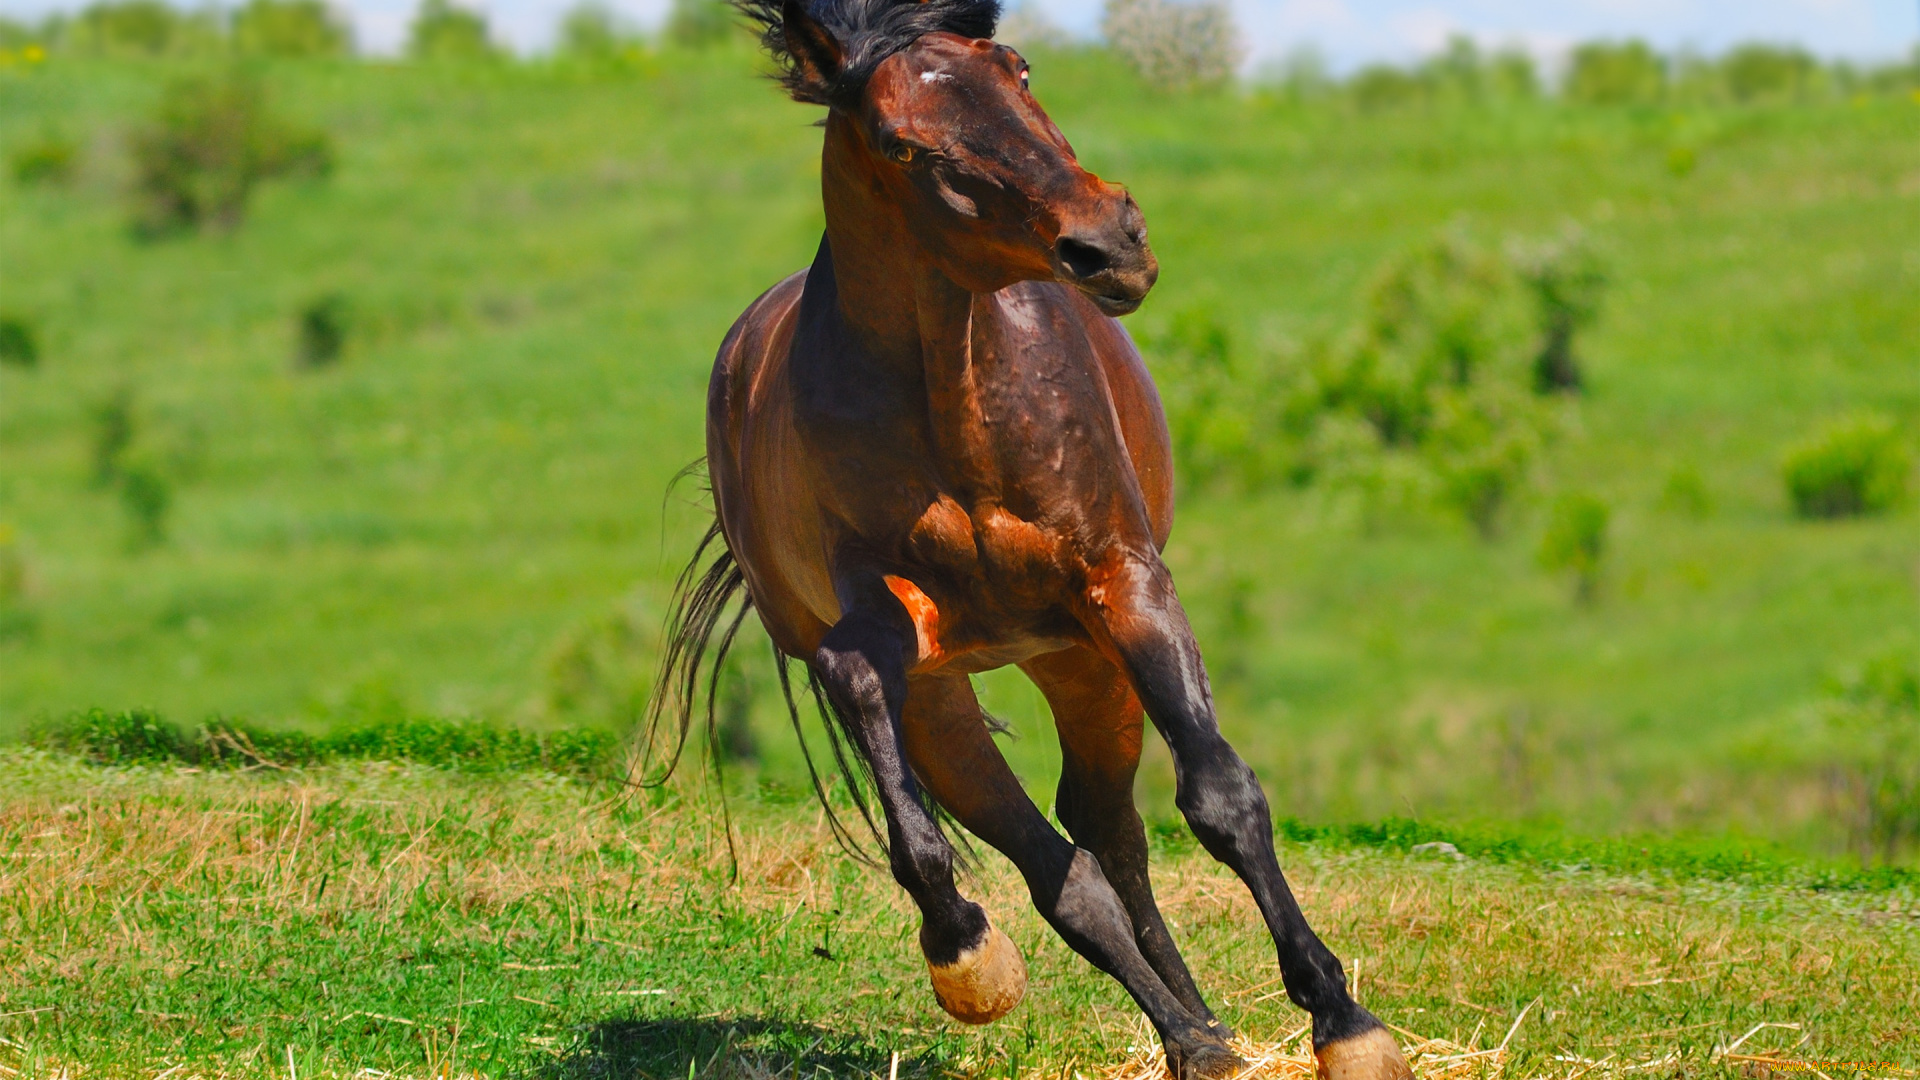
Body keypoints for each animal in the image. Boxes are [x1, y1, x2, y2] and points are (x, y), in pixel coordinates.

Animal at [652, 2, 1420, 1076]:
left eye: (1017, 67)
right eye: (902, 143)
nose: (1108, 242)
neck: (954, 397)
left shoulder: (1123, 583)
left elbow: (1222, 797)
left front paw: (1348, 1025)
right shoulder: (887, 627)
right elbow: (883, 733)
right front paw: (966, 957)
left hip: (1080, 658)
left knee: (1108, 830)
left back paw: (1206, 1033)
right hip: (952, 693)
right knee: (1068, 869)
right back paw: (1186, 1035)